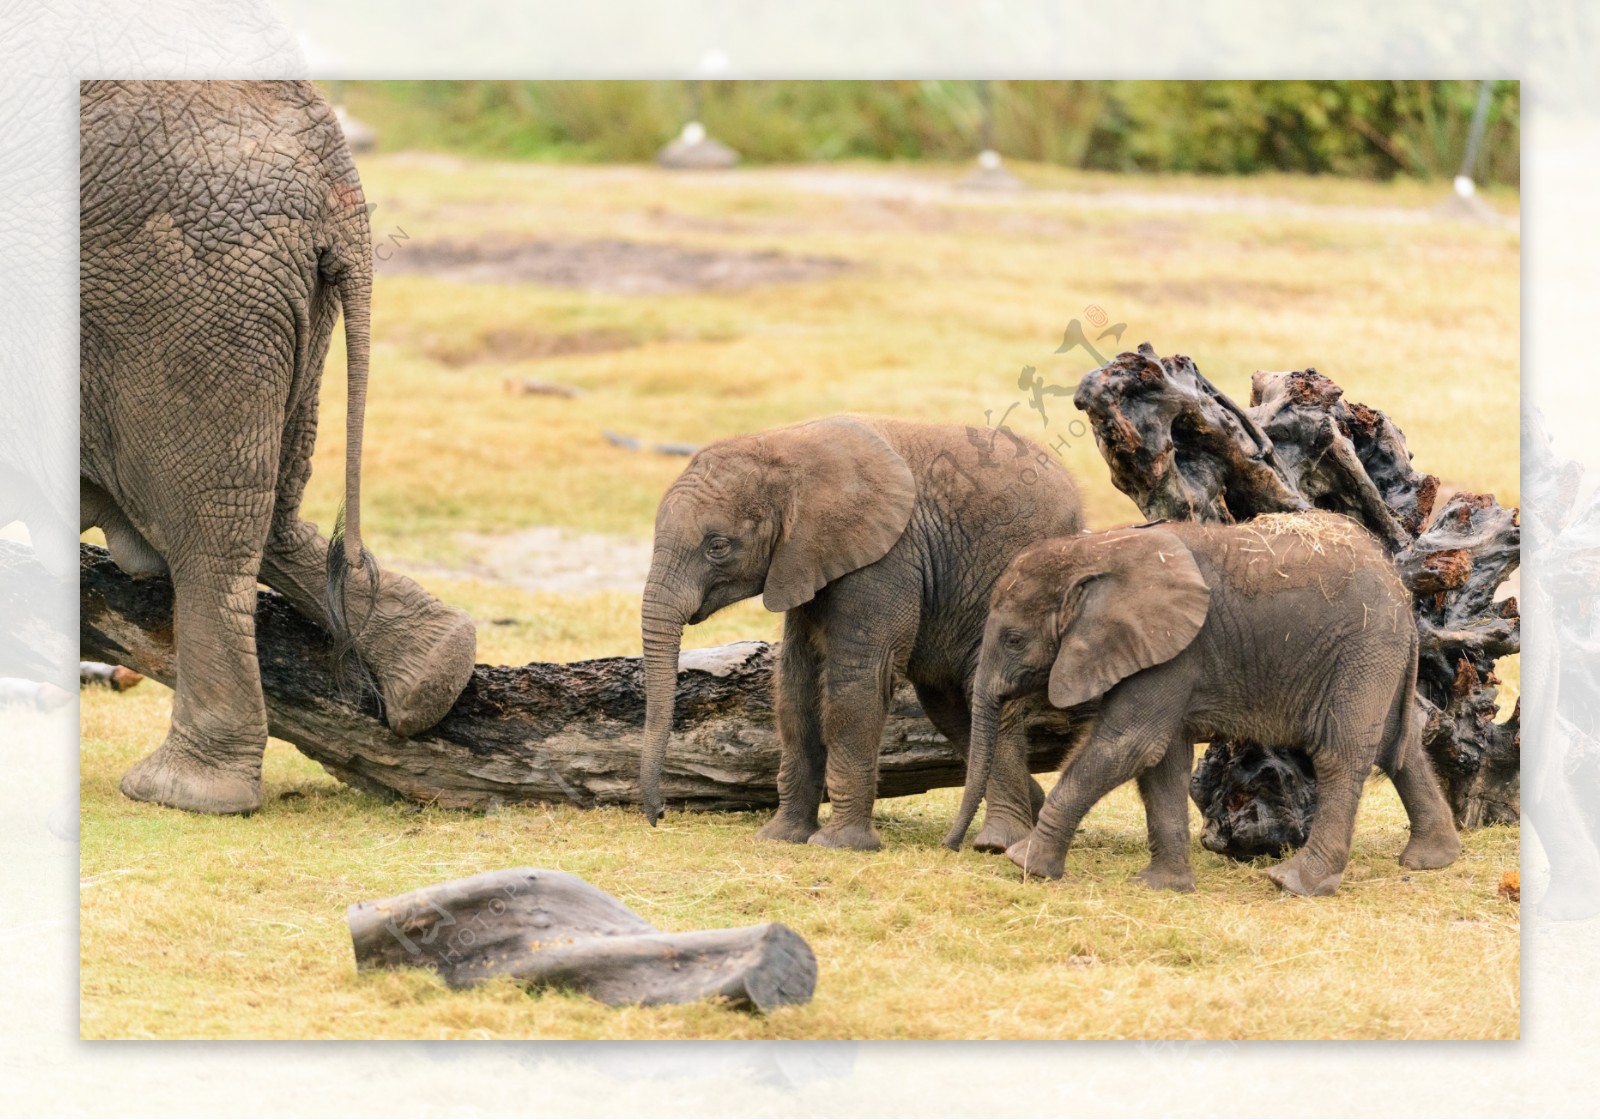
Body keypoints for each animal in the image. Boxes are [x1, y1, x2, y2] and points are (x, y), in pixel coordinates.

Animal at [79, 78, 473, 812]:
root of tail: (335, 174)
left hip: (187, 295)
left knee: (206, 529)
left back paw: (183, 792)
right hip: (279, 305)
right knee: (268, 512)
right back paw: (438, 669)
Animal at [643, 416, 1081, 851]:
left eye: (717, 546)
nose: (658, 815)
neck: (786, 448)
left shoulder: (888, 556)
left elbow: (858, 679)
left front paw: (838, 844)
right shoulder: (804, 561)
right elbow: (796, 685)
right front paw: (781, 837)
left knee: (986, 696)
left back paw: (998, 843)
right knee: (949, 706)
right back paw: (1031, 811)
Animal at [947, 512, 1465, 896]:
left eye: (1014, 640)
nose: (954, 847)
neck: (1098, 551)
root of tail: (1402, 595)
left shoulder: (1173, 651)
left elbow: (1128, 746)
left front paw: (1025, 864)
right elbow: (1160, 760)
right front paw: (1160, 887)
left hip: (1360, 650)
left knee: (1341, 755)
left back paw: (1294, 883)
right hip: (1375, 656)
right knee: (1396, 745)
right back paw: (1431, 861)